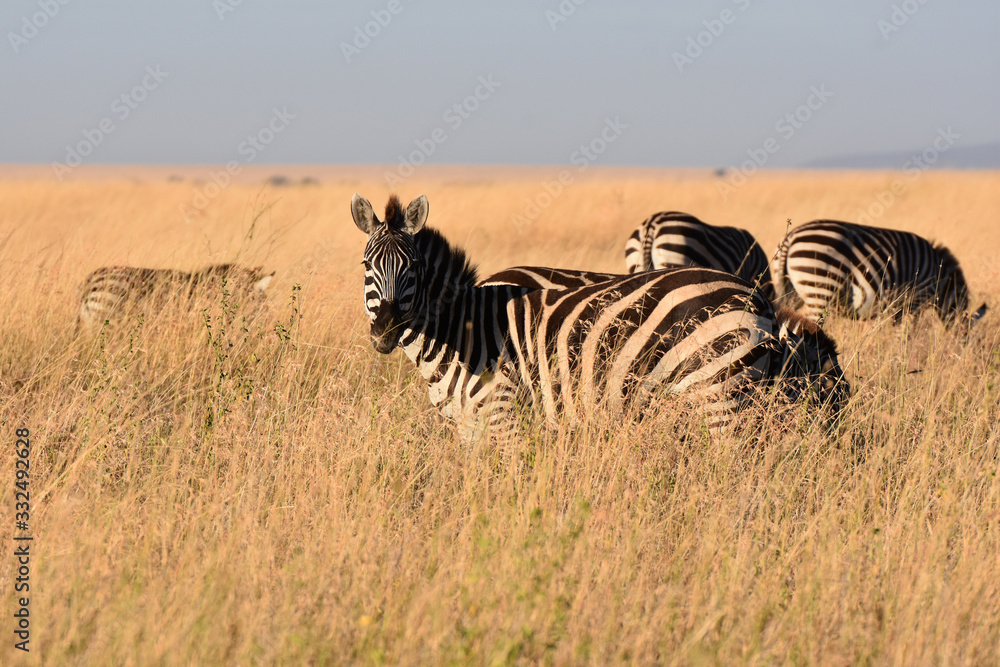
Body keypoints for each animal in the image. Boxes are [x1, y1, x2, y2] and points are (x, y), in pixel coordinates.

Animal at [772, 219, 987, 326]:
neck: (941, 280)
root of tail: (791, 237)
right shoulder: (915, 300)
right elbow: (907, 335)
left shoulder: (900, 306)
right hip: (820, 290)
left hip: (792, 291)